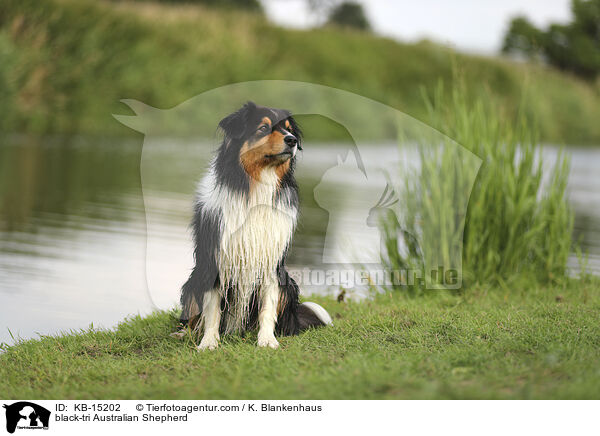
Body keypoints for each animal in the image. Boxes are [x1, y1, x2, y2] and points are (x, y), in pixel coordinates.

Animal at [178, 100, 332, 350]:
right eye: (263, 128)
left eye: (288, 129)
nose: (292, 140)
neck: (258, 184)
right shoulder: (216, 258)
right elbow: (212, 309)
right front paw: (209, 342)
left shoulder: (270, 259)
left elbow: (268, 308)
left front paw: (267, 340)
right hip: (193, 280)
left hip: (287, 284)